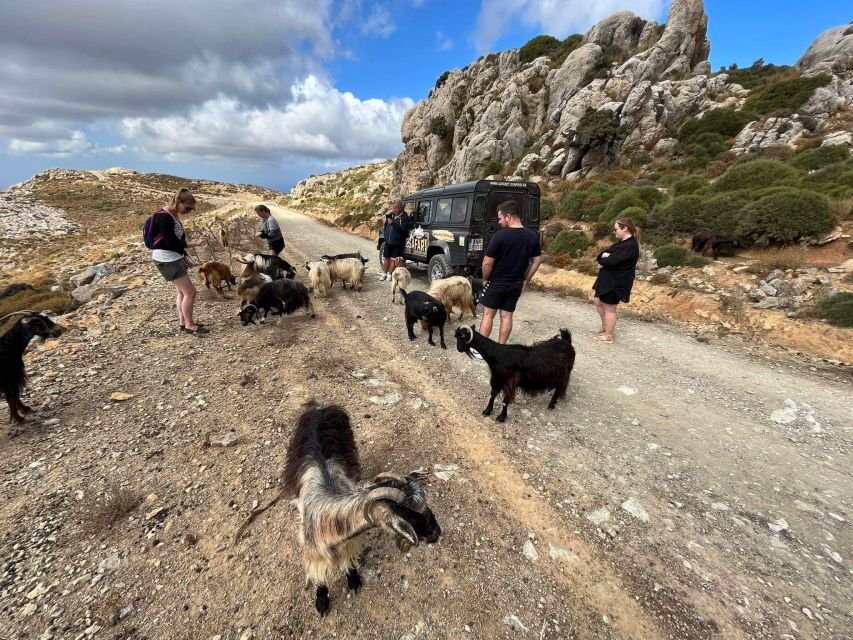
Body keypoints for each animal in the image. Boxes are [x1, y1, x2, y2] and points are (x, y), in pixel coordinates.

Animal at [236, 402, 442, 616]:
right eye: (407, 514)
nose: (437, 533)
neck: (330, 520)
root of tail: (318, 408)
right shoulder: (314, 553)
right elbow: (320, 578)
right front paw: (321, 602)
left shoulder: (350, 543)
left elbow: (349, 562)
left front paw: (353, 581)